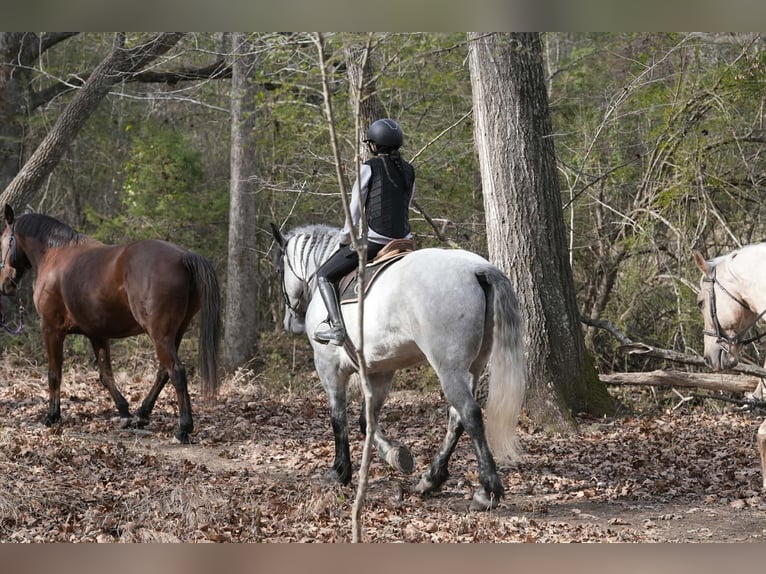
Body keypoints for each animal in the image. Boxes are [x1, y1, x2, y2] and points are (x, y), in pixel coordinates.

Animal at [0, 204, 221, 443]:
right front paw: (124, 411)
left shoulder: (51, 329)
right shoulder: (97, 333)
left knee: (176, 372)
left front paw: (52, 416)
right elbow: (106, 376)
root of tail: (184, 256)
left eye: (2, 241)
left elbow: (54, 373)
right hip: (176, 333)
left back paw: (183, 429)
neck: (54, 254)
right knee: (164, 372)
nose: (5, 285)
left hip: (160, 335)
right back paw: (141, 414)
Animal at [271, 223, 526, 510]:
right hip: (474, 366)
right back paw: (431, 478)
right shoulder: (381, 371)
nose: (290, 322)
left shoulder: (329, 366)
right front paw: (396, 455)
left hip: (448, 367)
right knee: (457, 417)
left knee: (470, 414)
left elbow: (339, 418)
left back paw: (486, 490)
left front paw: (339, 471)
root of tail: (478, 269)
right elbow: (366, 421)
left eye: (279, 270)